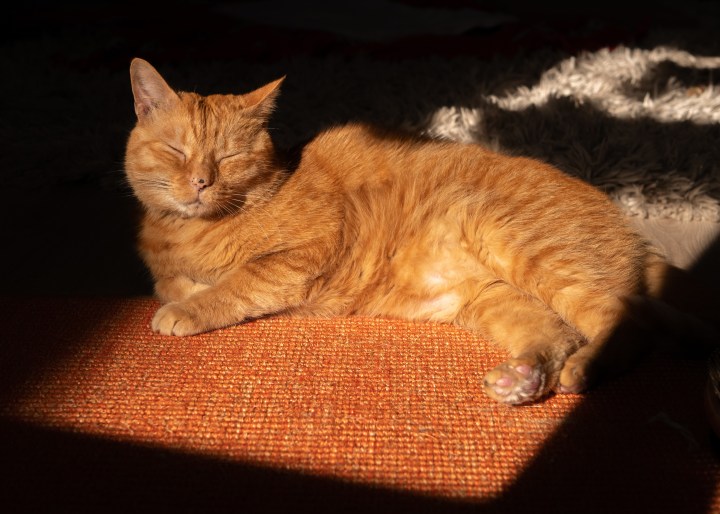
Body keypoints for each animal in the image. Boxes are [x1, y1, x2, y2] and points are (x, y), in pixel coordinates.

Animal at [122, 57, 716, 404]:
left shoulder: (301, 255)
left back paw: (585, 370)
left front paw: (187, 309)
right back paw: (522, 379)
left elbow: (233, 285)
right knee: (558, 332)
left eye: (229, 156)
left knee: (627, 321)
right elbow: (176, 284)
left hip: (523, 245)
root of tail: (624, 222)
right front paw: (182, 292)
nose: (201, 181)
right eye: (175, 150)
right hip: (496, 296)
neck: (190, 233)